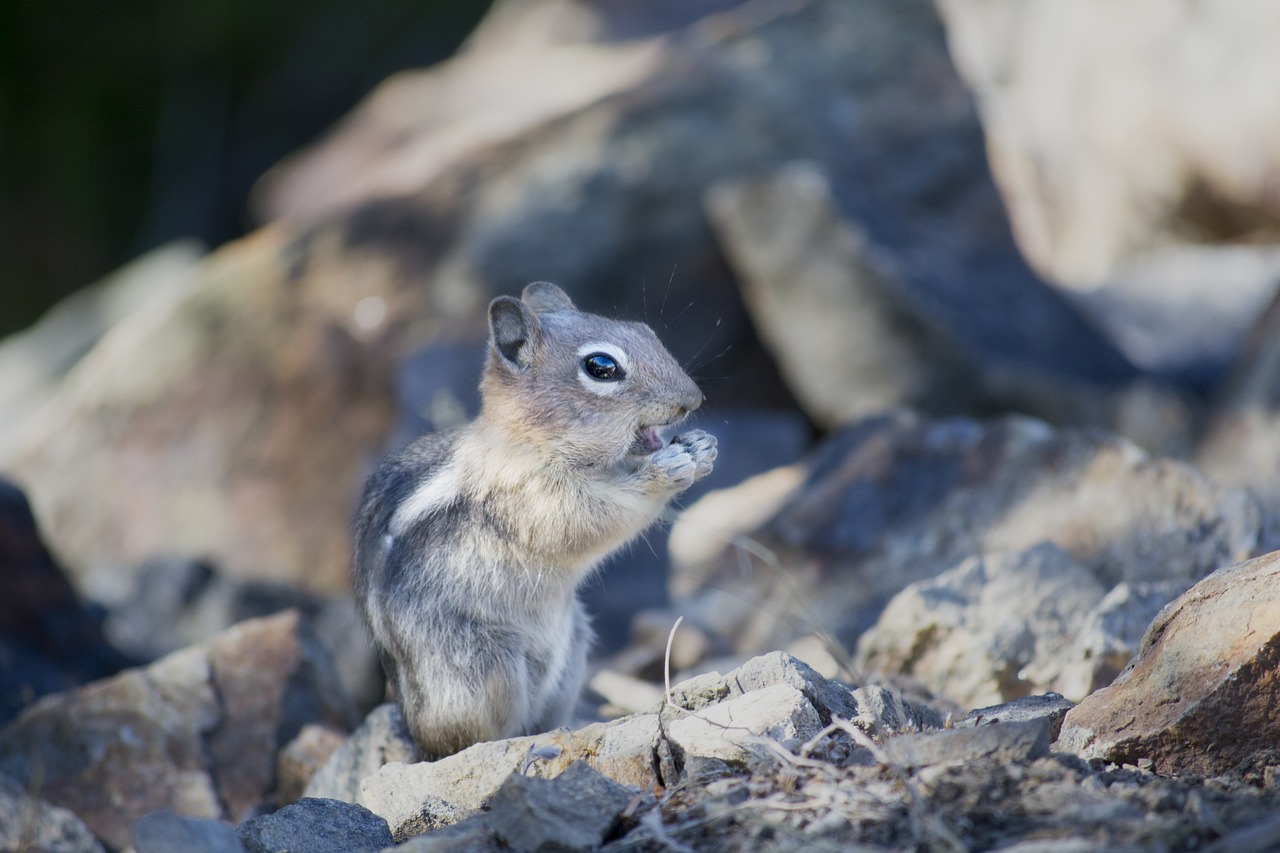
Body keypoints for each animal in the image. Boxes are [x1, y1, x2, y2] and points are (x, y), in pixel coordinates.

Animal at [355, 281, 716, 753]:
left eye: (646, 330)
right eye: (601, 367)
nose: (693, 400)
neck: (529, 441)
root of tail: (419, 736)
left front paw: (701, 447)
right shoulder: (535, 499)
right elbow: (595, 519)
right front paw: (668, 469)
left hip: (574, 645)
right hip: (488, 666)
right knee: (478, 738)